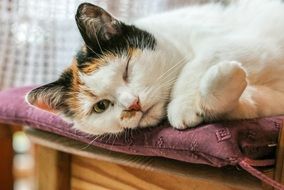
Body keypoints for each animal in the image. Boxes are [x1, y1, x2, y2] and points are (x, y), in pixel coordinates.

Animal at [26, 0, 284, 136]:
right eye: (101, 106)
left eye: (126, 70)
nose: (133, 104)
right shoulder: (272, 98)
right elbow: (245, 104)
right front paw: (228, 80)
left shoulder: (253, 45)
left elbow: (199, 62)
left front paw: (181, 106)